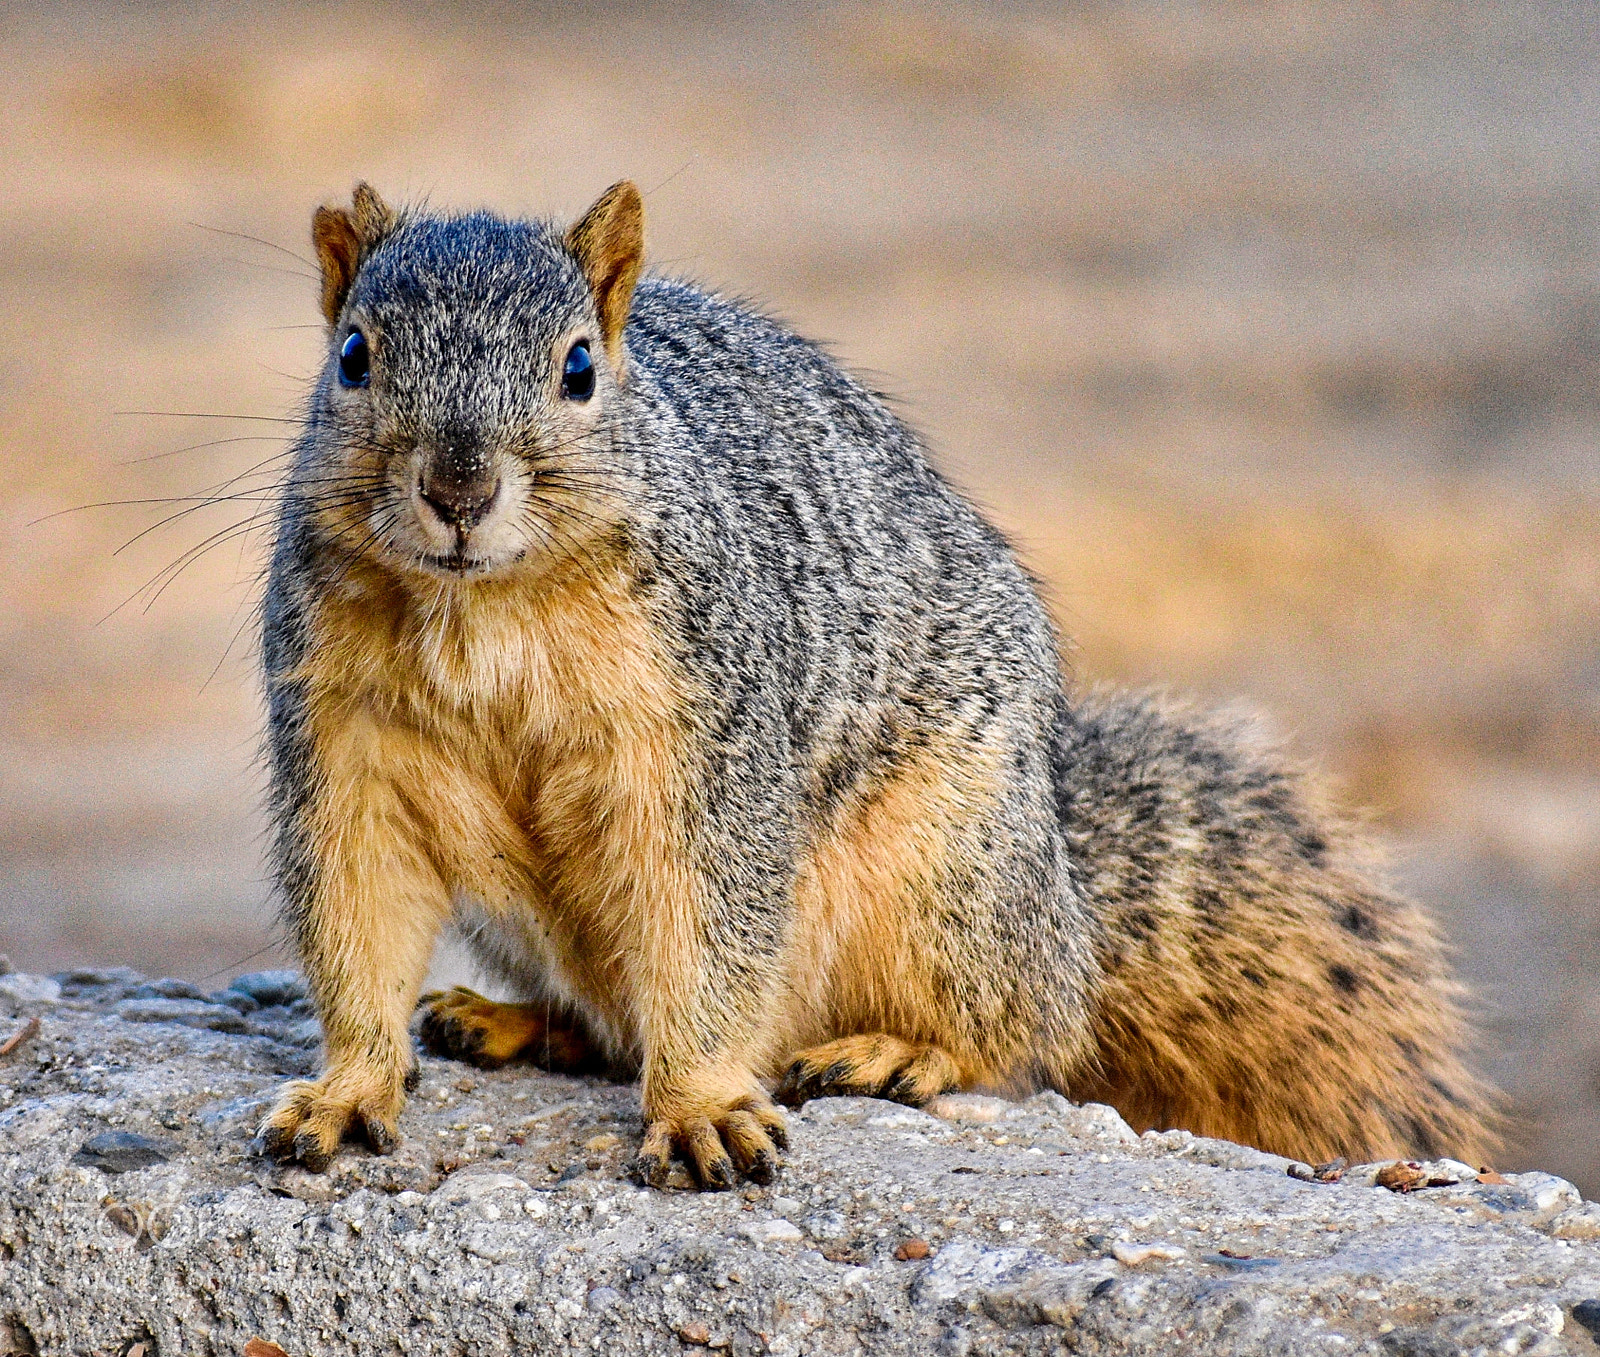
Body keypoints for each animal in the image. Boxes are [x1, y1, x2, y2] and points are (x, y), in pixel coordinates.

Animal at [258, 181, 1499, 1188]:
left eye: (578, 369)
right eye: (353, 356)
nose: (458, 491)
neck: (483, 608)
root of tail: (1066, 894)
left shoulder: (705, 733)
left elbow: (708, 922)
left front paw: (699, 1106)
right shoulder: (346, 742)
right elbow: (357, 913)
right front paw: (348, 1088)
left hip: (942, 873)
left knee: (1016, 1030)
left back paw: (899, 1049)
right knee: (606, 1026)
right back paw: (502, 1020)